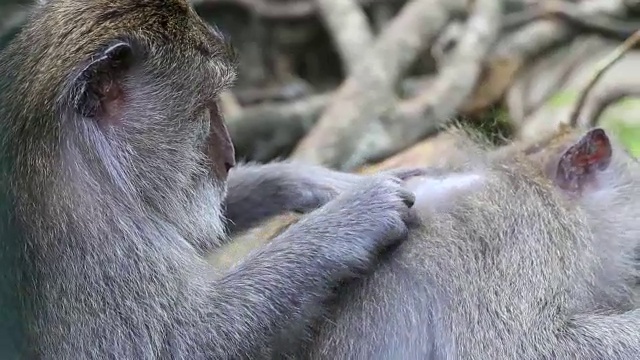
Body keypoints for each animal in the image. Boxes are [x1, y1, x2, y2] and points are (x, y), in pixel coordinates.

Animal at [0, 1, 422, 358]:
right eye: (205, 107)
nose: (228, 158)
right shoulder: (89, 230)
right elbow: (186, 343)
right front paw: (353, 216)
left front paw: (313, 182)